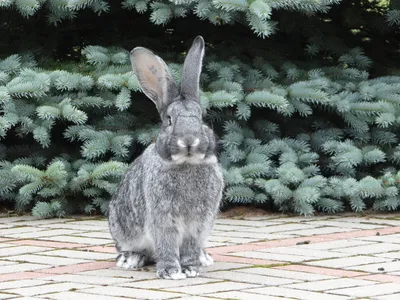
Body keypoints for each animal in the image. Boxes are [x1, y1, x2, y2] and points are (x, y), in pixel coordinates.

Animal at [108, 36, 223, 280]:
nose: (189, 140)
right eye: (169, 120)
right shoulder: (162, 218)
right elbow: (167, 244)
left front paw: (191, 268)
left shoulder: (197, 223)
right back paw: (130, 259)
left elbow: (190, 246)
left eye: (201, 117)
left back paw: (204, 258)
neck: (187, 163)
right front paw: (171, 271)